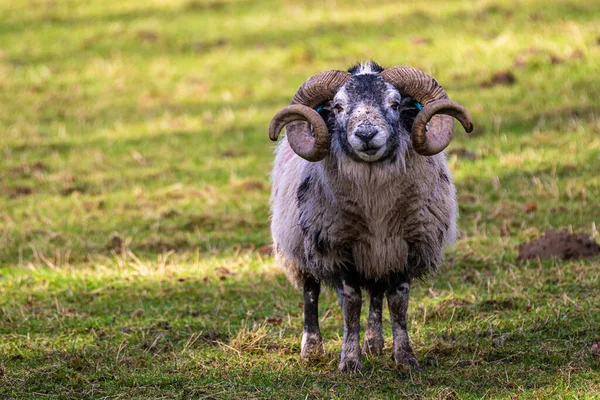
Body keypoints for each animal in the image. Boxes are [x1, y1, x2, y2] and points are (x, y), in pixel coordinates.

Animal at [268, 61, 474, 374]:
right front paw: (350, 362)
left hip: (376, 255)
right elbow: (351, 305)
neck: (375, 205)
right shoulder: (342, 247)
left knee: (376, 293)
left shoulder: (403, 245)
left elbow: (398, 303)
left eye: (395, 103)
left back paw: (374, 343)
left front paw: (405, 358)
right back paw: (312, 350)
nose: (366, 135)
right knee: (311, 292)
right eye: (338, 106)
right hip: (301, 246)